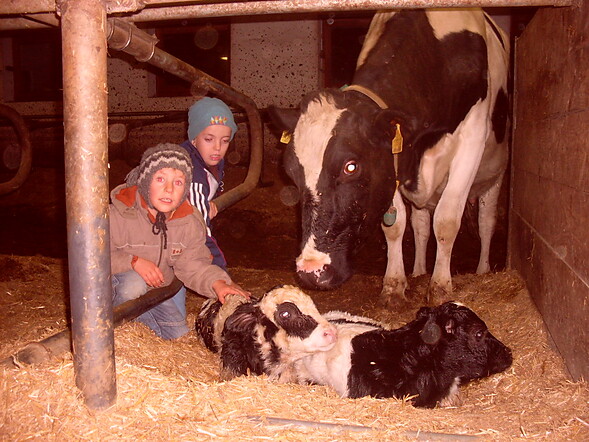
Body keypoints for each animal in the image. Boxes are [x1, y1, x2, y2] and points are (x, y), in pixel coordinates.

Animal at [268, 9, 510, 308]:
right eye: (291, 172)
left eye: (351, 167)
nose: (311, 270)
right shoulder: (390, 163)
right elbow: (396, 226)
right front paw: (395, 285)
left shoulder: (472, 138)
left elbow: (446, 220)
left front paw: (440, 287)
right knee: (420, 225)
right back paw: (419, 271)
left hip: (495, 175)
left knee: (486, 222)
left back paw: (482, 269)